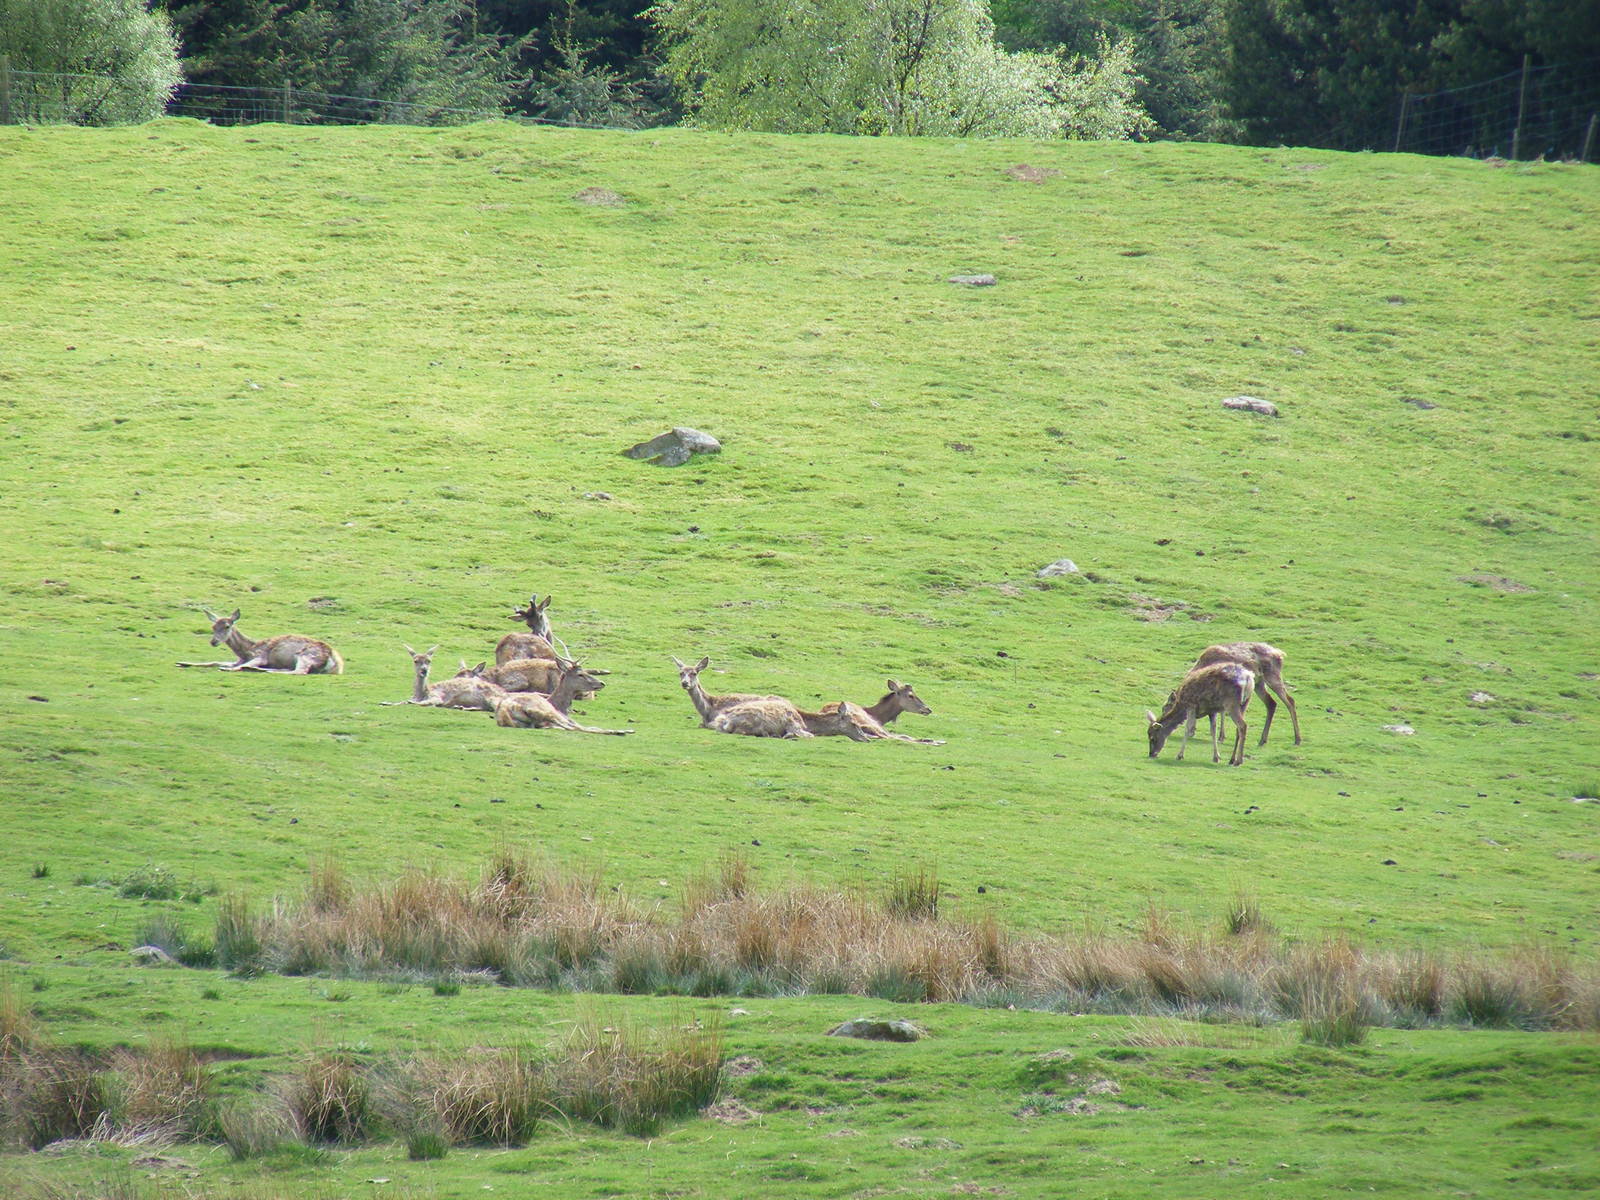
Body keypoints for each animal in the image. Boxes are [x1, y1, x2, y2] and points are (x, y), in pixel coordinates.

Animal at [177, 608, 343, 674]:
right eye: (213, 626)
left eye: (227, 626)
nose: (213, 642)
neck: (246, 651)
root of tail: (336, 665)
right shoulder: (239, 659)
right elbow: (214, 661)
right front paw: (182, 662)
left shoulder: (260, 656)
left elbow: (231, 666)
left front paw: (227, 668)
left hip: (306, 655)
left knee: (300, 671)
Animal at [491, 661, 632, 735]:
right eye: (580, 674)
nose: (602, 683)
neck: (560, 706)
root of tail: (505, 711)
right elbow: (590, 727)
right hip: (544, 711)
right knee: (575, 728)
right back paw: (623, 731)